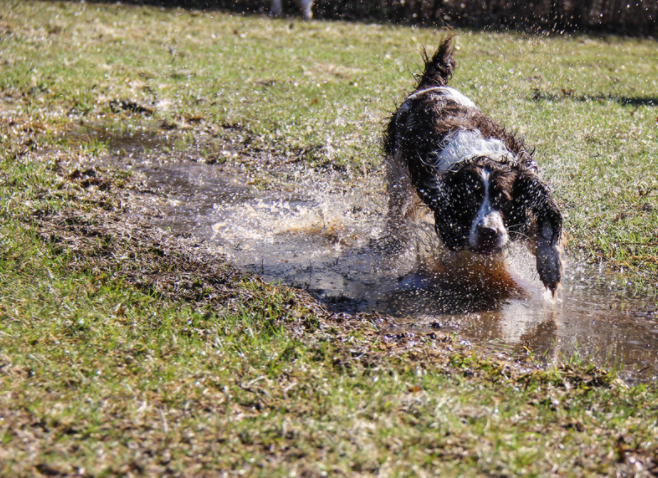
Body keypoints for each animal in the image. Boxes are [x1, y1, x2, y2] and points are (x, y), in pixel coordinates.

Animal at [384, 37, 564, 296]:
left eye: (503, 200)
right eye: (468, 200)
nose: (488, 233)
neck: (480, 155)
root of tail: (429, 86)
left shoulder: (527, 176)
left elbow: (544, 223)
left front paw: (551, 267)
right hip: (395, 166)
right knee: (396, 207)